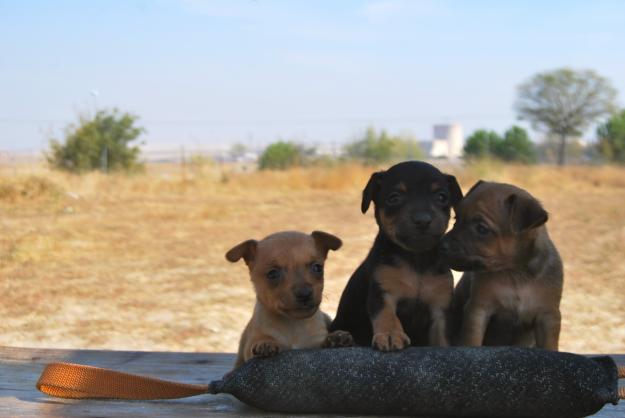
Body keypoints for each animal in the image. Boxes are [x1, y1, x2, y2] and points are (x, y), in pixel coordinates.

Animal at [225, 230, 354, 368]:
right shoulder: (250, 346)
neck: (294, 324)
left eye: (318, 268)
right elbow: (259, 342)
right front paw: (265, 343)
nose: (304, 293)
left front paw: (336, 337)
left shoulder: (315, 342)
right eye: (272, 273)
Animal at [330, 162, 460, 352]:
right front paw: (391, 335)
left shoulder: (440, 307)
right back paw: (338, 338)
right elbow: (387, 315)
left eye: (442, 197)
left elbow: (443, 337)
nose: (423, 220)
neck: (416, 258)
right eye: (394, 198)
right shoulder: (383, 292)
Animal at [442, 181, 564, 352]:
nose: (441, 246)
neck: (515, 273)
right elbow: (472, 340)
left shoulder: (548, 317)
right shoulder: (479, 309)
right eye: (456, 219)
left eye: (481, 229)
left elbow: (550, 346)